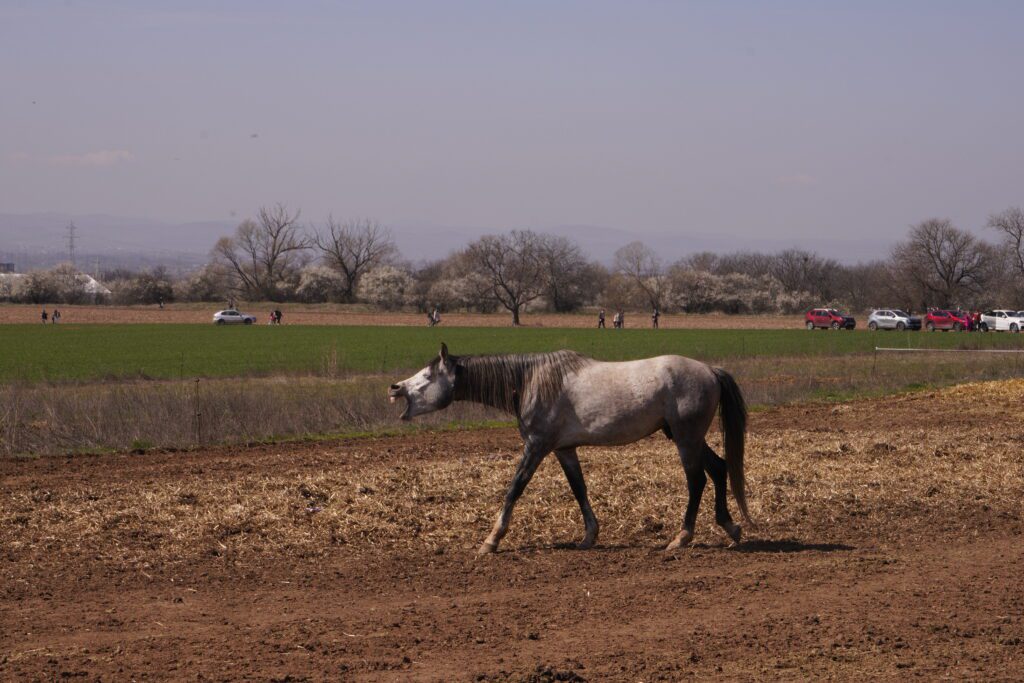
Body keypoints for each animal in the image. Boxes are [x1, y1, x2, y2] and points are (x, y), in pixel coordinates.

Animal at [388, 344, 752, 554]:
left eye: (427, 376)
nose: (395, 388)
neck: (532, 381)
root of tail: (710, 370)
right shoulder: (564, 449)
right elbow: (579, 489)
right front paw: (589, 536)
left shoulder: (536, 446)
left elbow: (514, 490)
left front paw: (491, 540)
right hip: (685, 437)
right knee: (719, 469)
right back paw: (731, 527)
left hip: (686, 438)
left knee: (697, 481)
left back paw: (682, 537)